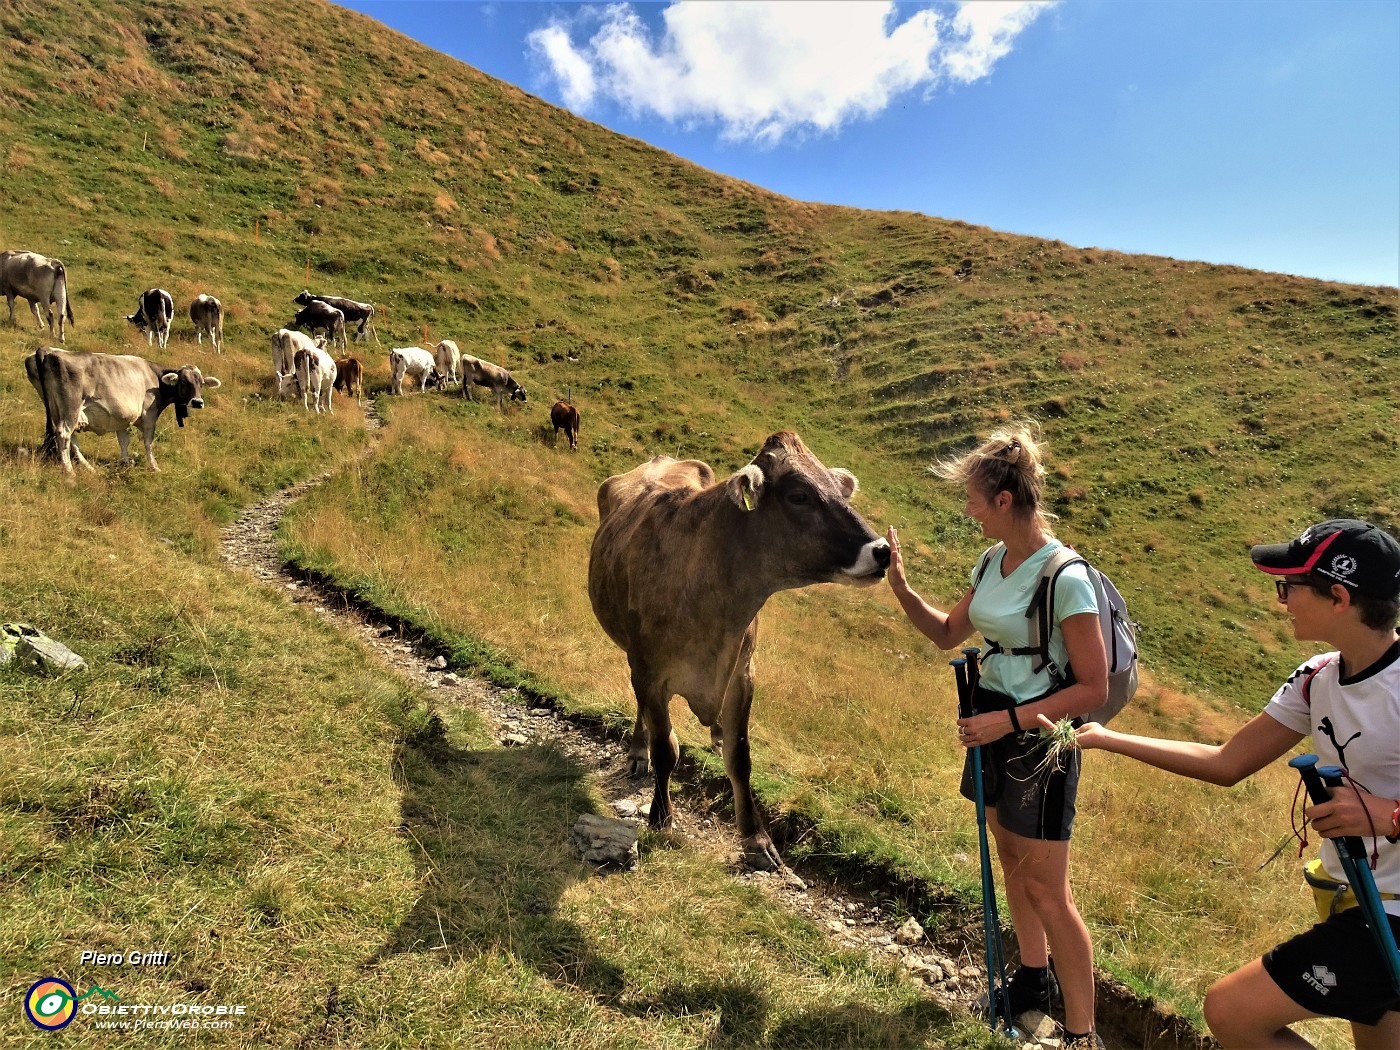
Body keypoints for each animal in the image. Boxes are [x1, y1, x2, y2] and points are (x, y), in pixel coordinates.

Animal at [23, 347, 221, 476]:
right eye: (184, 382)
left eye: (201, 383)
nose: (197, 402)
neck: (155, 377)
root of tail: (48, 350)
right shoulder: (149, 415)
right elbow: (148, 442)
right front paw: (154, 467)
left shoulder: (121, 417)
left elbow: (124, 441)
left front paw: (125, 462)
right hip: (71, 406)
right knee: (64, 433)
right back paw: (69, 470)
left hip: (54, 406)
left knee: (69, 437)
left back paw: (87, 466)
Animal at [588, 428, 890, 873]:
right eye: (798, 496)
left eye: (840, 491)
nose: (883, 550)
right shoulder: (649, 671)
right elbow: (665, 749)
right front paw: (662, 816)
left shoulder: (743, 675)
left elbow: (740, 757)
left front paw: (756, 838)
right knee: (645, 717)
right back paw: (637, 751)